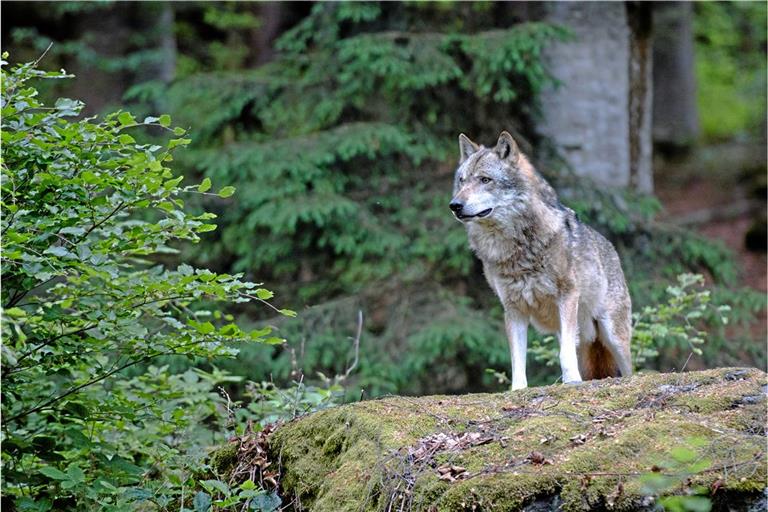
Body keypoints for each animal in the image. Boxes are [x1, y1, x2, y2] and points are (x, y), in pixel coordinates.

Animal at [448, 131, 632, 388]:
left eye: (485, 180)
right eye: (462, 181)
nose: (455, 205)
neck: (515, 249)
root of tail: (612, 250)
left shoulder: (567, 296)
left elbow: (564, 353)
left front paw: (572, 381)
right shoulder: (513, 309)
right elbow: (517, 359)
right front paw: (518, 389)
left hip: (612, 335)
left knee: (629, 370)